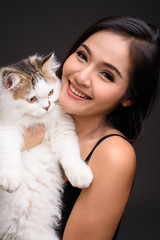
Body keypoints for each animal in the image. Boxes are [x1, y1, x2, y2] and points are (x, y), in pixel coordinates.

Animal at [0, 53, 93, 240]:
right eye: (31, 99)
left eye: (50, 92)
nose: (47, 106)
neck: (33, 122)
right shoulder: (6, 130)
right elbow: (9, 154)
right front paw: (10, 181)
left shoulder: (62, 129)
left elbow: (71, 154)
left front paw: (81, 176)